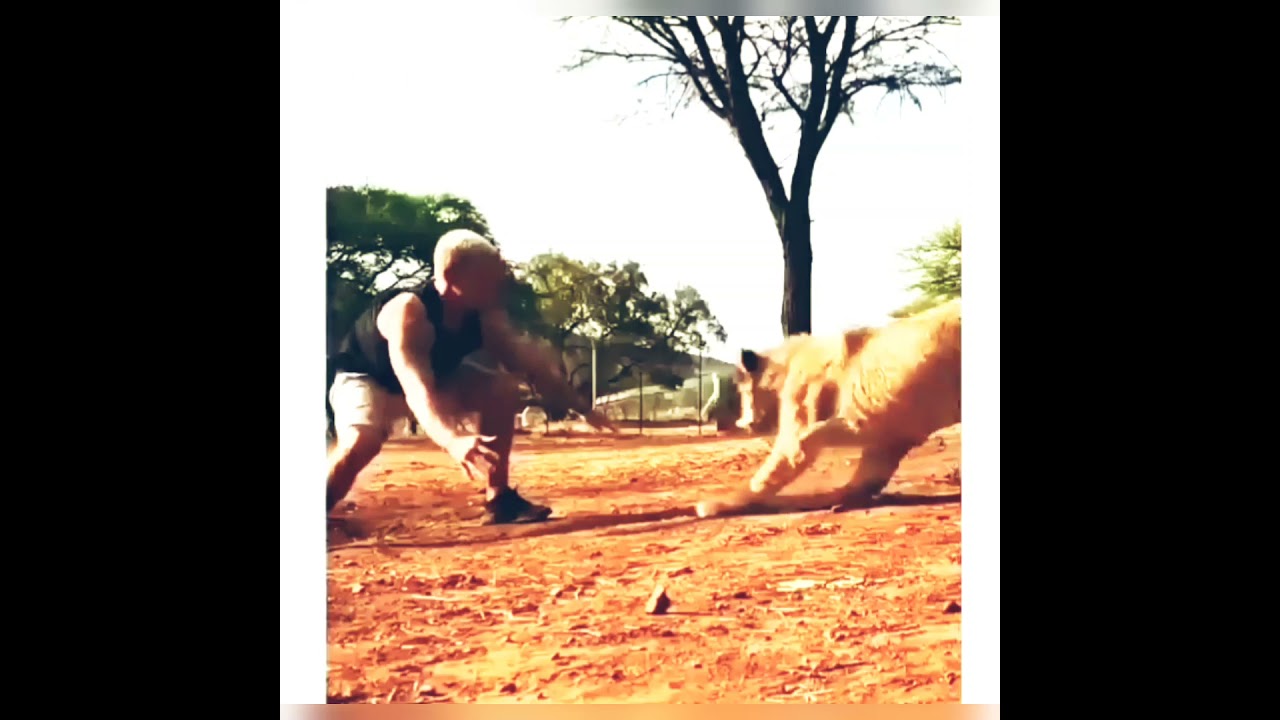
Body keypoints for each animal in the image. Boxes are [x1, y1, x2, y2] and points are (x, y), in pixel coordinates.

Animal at [696, 298, 961, 518]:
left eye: (742, 392)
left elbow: (772, 470)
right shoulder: (889, 440)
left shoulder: (843, 425)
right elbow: (862, 482)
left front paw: (715, 505)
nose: (742, 422)